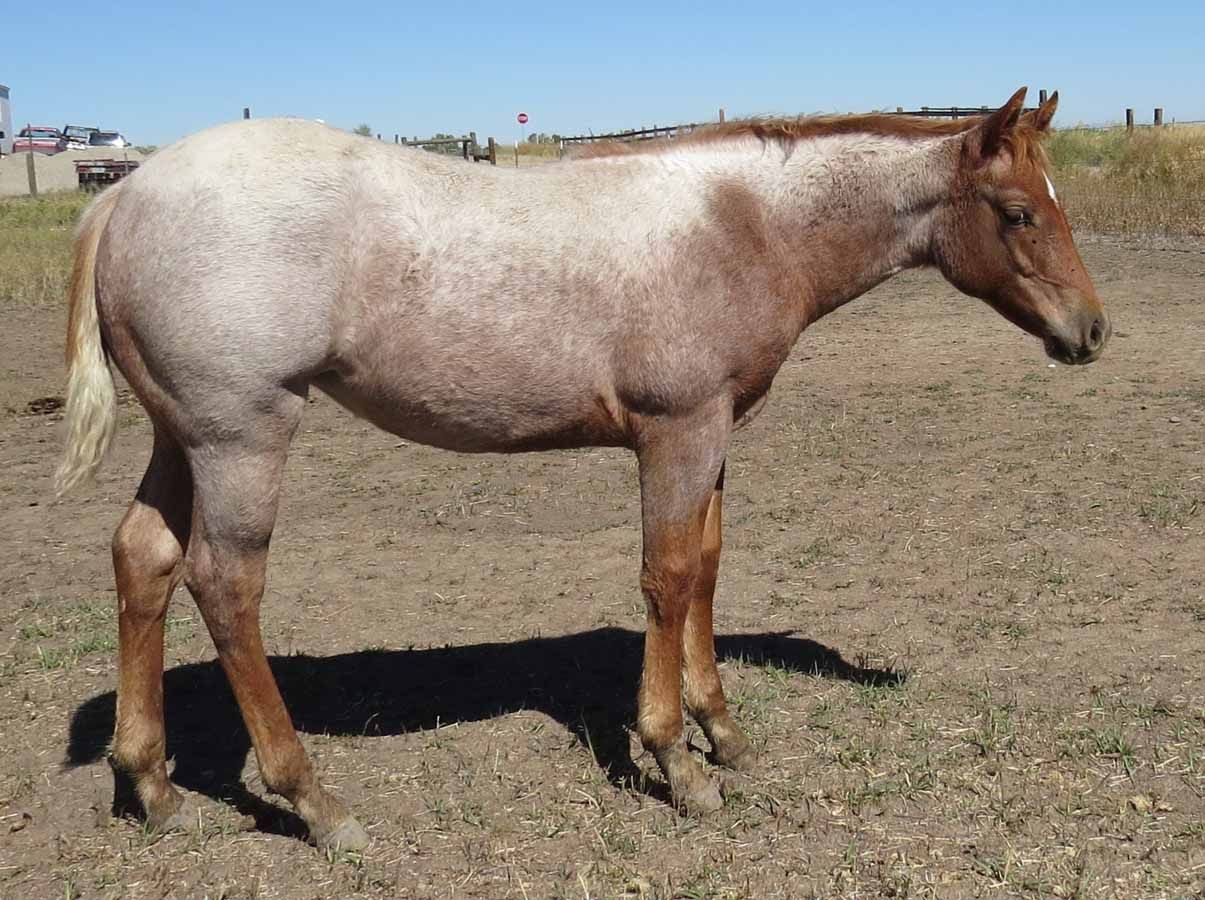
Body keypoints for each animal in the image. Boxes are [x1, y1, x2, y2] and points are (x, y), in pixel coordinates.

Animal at [56, 87, 1109, 851]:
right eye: (1019, 212)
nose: (1091, 332)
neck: (739, 225)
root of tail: (123, 192)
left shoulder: (714, 436)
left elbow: (704, 573)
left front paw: (723, 733)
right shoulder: (677, 432)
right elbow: (667, 578)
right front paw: (676, 763)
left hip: (183, 436)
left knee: (142, 559)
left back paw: (150, 783)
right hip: (243, 437)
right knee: (225, 586)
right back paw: (314, 803)